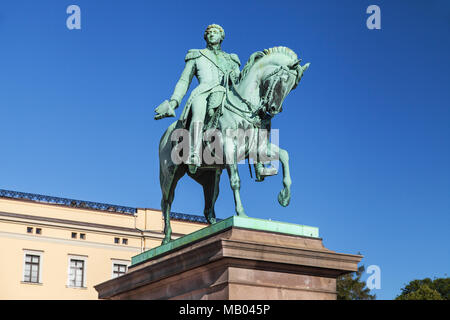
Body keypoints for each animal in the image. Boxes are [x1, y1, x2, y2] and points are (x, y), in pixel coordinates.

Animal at [156, 46, 308, 244]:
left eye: (293, 86)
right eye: (283, 79)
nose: (273, 109)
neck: (243, 107)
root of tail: (165, 136)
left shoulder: (258, 148)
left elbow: (284, 155)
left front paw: (284, 196)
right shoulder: (229, 148)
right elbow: (236, 181)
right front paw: (241, 214)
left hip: (210, 177)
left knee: (208, 203)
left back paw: (213, 225)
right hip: (170, 173)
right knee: (167, 201)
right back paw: (167, 238)